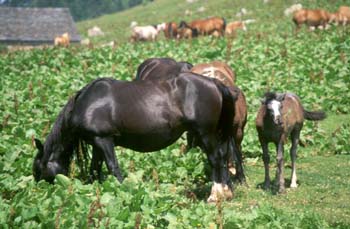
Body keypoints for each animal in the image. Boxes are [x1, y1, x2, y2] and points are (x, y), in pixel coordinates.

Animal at [34, 74, 238, 202]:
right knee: (222, 157)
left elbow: (113, 167)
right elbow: (94, 169)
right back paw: (226, 192)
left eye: (38, 171)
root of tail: (214, 83)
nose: (39, 191)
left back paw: (215, 195)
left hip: (205, 134)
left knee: (215, 159)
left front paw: (125, 192)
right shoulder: (97, 143)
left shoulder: (104, 140)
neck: (87, 103)